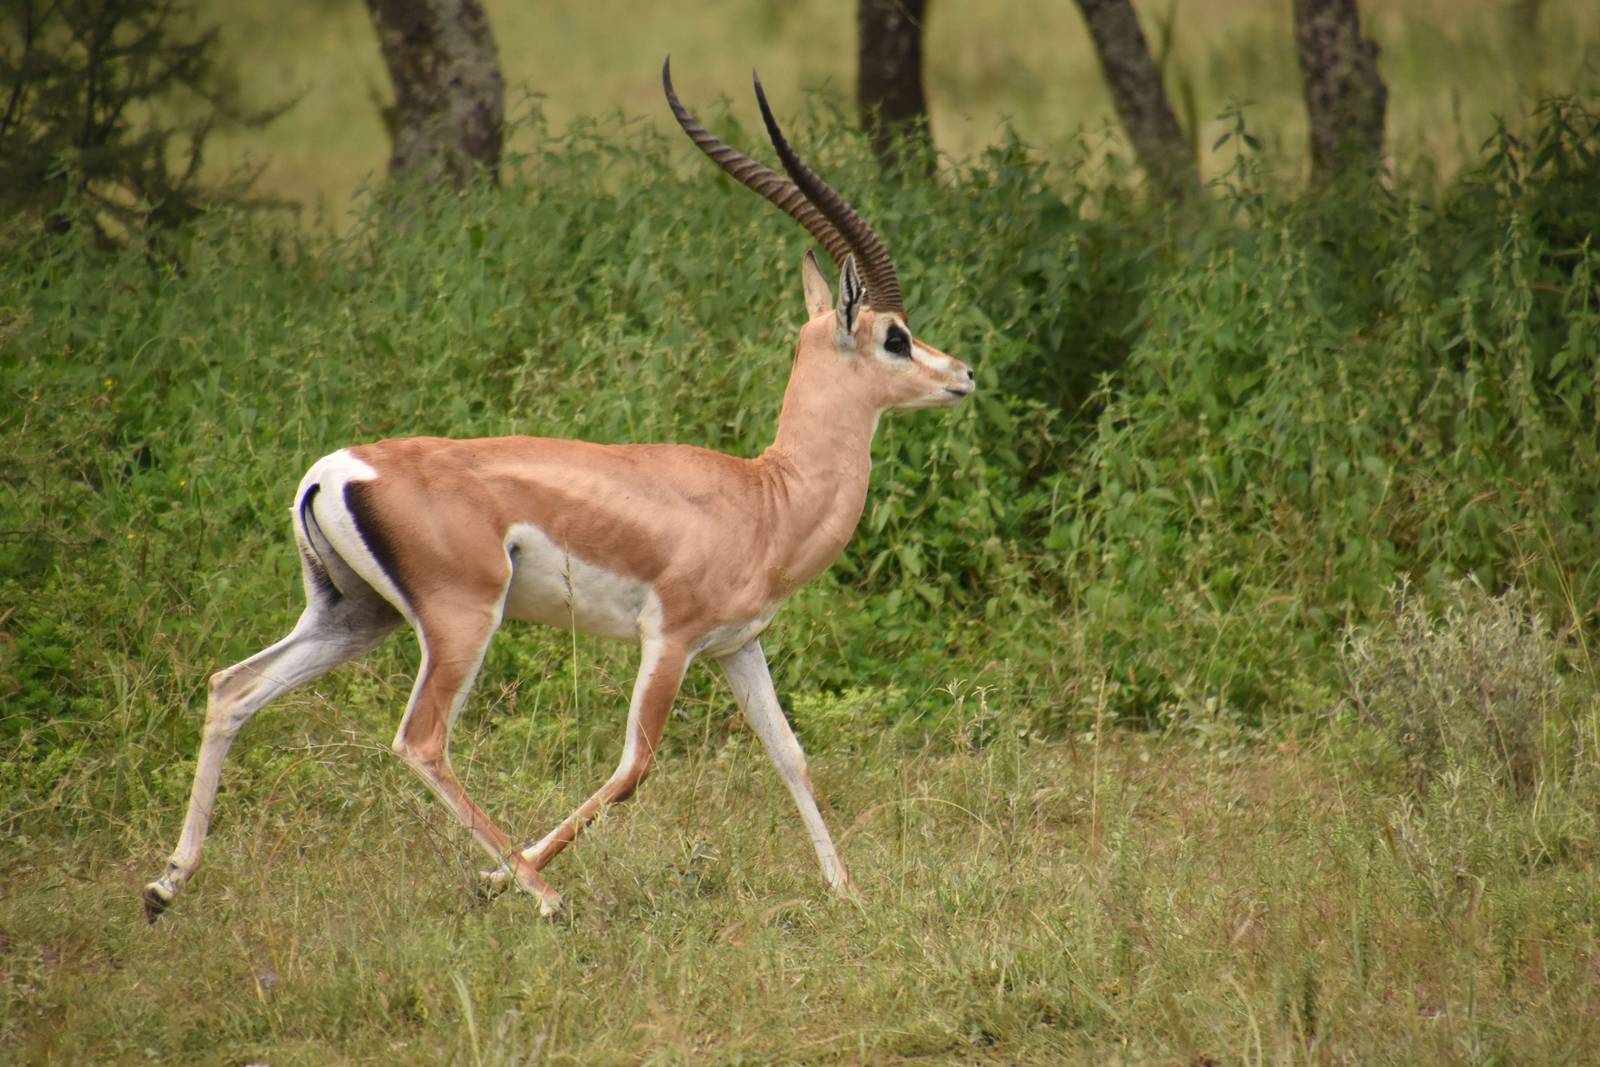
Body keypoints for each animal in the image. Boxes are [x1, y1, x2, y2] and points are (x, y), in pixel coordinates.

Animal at [143, 59, 974, 922]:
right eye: (896, 337)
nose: (963, 375)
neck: (766, 496)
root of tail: (338, 469)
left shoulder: (736, 646)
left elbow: (791, 754)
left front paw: (850, 892)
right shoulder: (669, 639)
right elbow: (634, 767)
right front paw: (498, 879)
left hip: (355, 616)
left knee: (233, 687)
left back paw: (165, 884)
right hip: (461, 621)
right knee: (422, 739)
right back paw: (544, 895)